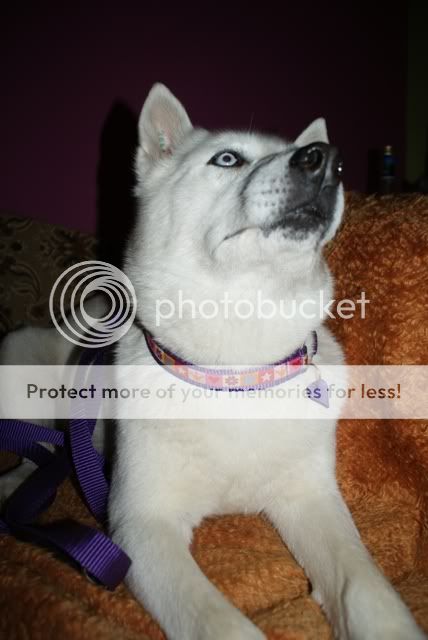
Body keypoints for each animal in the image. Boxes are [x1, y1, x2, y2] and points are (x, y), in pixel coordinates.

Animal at [1, 83, 426, 640]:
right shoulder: (140, 527)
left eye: (319, 157)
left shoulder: (312, 495)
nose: (326, 160)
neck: (236, 368)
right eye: (227, 158)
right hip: (19, 359)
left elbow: (364, 585)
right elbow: (218, 623)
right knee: (35, 450)